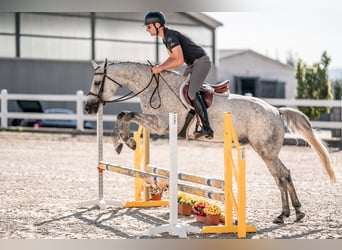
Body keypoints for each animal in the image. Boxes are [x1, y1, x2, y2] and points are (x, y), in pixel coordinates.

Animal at [86, 59, 336, 225]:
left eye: (97, 82)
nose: (89, 107)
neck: (155, 87)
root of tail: (276, 110)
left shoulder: (161, 125)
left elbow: (126, 114)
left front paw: (125, 142)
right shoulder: (155, 124)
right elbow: (124, 115)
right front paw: (123, 142)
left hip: (265, 151)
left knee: (281, 176)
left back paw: (284, 215)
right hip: (266, 151)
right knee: (285, 174)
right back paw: (296, 212)